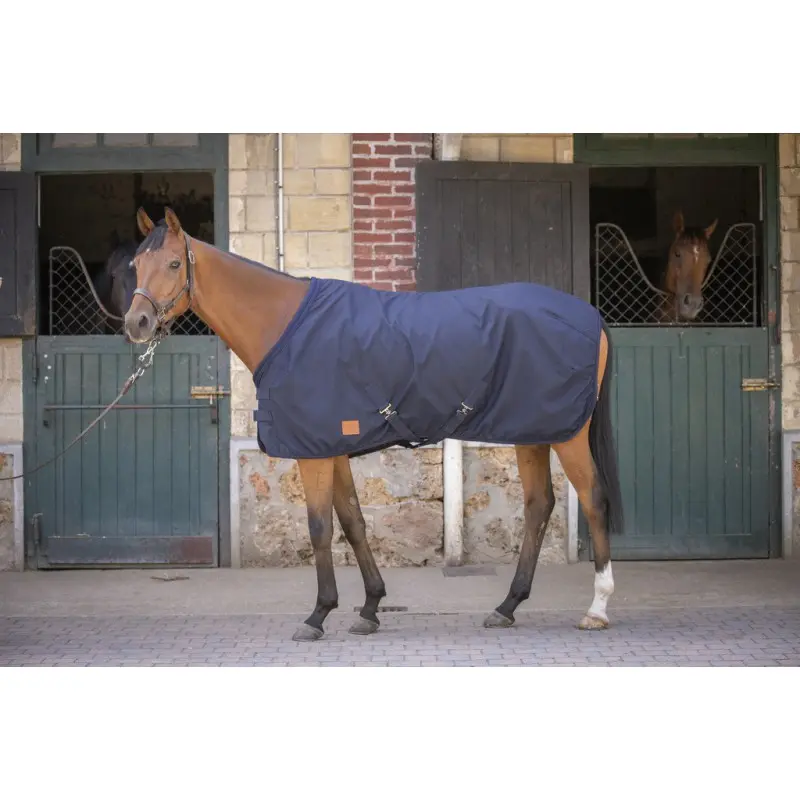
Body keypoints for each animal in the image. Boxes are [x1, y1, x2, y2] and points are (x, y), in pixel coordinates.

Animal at [125, 206, 624, 642]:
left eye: (174, 263)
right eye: (135, 264)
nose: (136, 322)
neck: (285, 326)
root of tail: (590, 316)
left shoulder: (315, 452)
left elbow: (319, 527)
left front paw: (318, 615)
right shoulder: (334, 447)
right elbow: (353, 522)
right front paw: (369, 608)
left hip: (567, 435)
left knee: (593, 499)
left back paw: (597, 608)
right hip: (533, 432)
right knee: (540, 505)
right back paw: (507, 606)